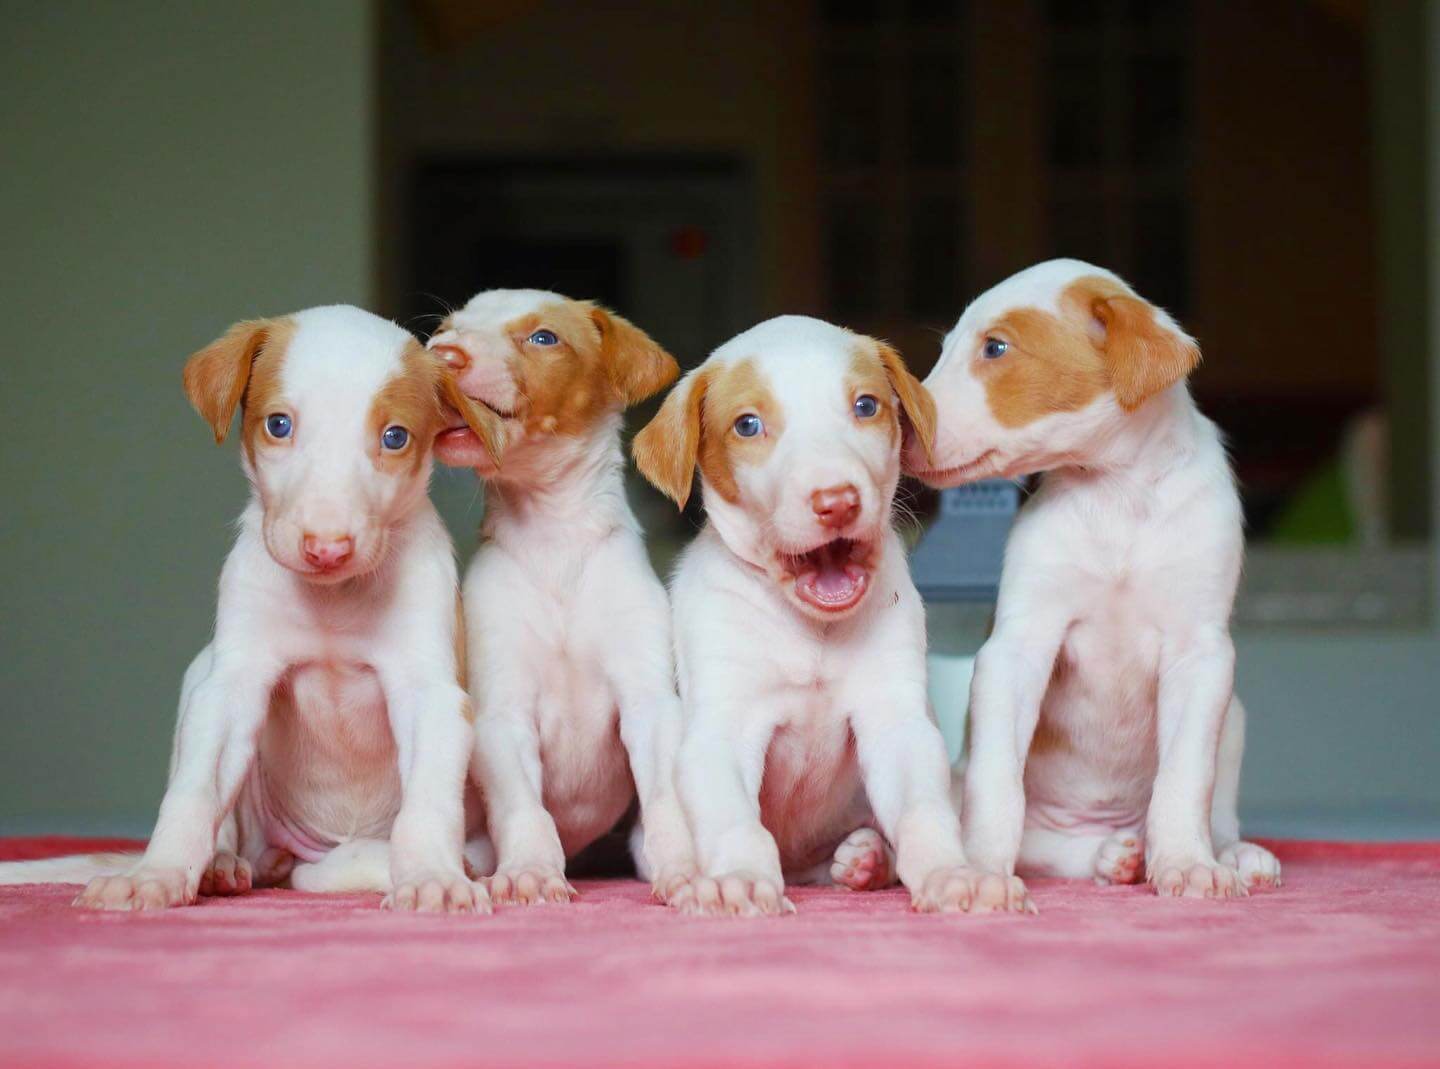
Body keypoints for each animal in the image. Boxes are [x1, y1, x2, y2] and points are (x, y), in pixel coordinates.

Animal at [0, 303, 506, 910]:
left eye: (395, 437)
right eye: (278, 425)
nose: (327, 548)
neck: (332, 600)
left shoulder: (429, 692)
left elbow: (428, 804)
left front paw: (433, 876)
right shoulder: (232, 684)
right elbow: (192, 795)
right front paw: (155, 874)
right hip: (203, 678)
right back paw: (219, 865)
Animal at [426, 289, 696, 910]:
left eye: (543, 337)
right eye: (446, 329)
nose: (442, 354)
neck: (553, 537)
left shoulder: (649, 700)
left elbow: (667, 798)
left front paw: (684, 871)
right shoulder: (502, 714)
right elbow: (523, 808)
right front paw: (530, 870)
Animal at [636, 318, 1031, 922]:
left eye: (866, 405)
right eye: (747, 425)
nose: (837, 501)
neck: (811, 632)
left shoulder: (896, 722)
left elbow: (924, 813)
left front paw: (953, 875)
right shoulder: (722, 728)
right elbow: (736, 822)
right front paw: (740, 880)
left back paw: (866, 860)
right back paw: (683, 879)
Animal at [910, 262, 1284, 904]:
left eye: (996, 348)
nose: (905, 428)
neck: (1116, 494)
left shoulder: (1200, 654)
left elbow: (1185, 777)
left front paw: (1188, 863)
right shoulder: (1018, 648)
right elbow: (996, 783)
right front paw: (980, 870)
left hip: (1232, 719)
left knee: (1211, 814)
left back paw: (1225, 855)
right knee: (1043, 848)